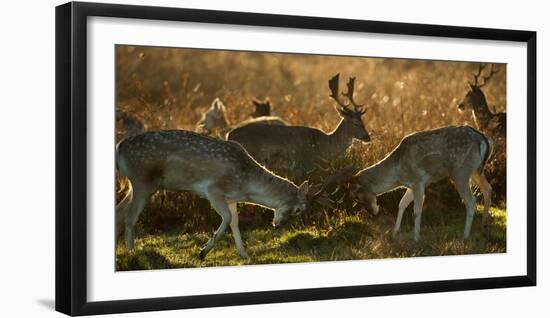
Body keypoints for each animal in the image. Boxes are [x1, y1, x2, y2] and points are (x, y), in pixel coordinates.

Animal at [116, 129, 320, 258]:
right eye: (299, 209)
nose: (279, 225)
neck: (246, 186)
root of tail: (119, 149)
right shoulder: (213, 190)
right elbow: (228, 218)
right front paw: (203, 252)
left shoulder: (231, 198)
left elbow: (235, 222)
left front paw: (244, 254)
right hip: (142, 180)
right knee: (130, 216)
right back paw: (132, 252)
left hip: (137, 184)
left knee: (119, 210)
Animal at [226, 74, 374, 178]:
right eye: (355, 122)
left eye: (362, 120)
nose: (368, 137)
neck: (324, 147)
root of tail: (229, 135)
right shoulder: (305, 164)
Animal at [320, 124, 496, 241]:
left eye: (355, 195)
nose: (372, 212)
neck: (398, 174)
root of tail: (483, 139)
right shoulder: (412, 184)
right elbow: (401, 204)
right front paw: (394, 233)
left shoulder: (418, 181)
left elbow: (417, 210)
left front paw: (416, 238)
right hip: (476, 170)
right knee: (488, 189)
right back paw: (483, 226)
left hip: (460, 171)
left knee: (471, 201)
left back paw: (465, 236)